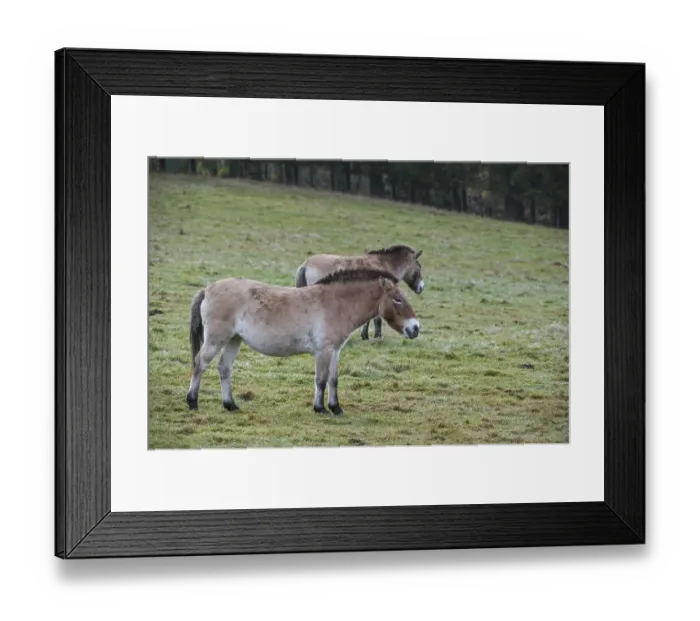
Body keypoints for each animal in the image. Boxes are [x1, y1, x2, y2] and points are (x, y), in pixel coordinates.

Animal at [186, 268, 421, 416]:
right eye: (398, 299)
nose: (415, 328)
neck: (335, 303)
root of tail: (207, 289)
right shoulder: (323, 350)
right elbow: (321, 379)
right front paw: (320, 408)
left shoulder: (335, 350)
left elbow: (333, 380)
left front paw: (336, 408)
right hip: (217, 339)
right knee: (200, 364)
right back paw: (192, 402)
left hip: (234, 340)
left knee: (224, 368)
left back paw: (230, 405)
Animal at [294, 244, 424, 341]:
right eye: (419, 266)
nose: (421, 287)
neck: (383, 263)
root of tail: (306, 264)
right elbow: (376, 319)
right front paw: (375, 336)